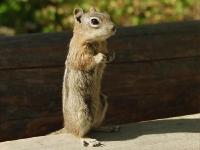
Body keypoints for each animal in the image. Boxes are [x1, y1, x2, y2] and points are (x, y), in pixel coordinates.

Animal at [62, 7, 118, 146]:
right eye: (94, 21)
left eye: (107, 15)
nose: (114, 27)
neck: (96, 41)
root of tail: (67, 127)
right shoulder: (78, 52)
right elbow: (84, 61)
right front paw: (98, 57)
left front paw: (111, 55)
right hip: (82, 111)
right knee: (77, 134)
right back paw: (87, 139)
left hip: (102, 102)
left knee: (94, 126)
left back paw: (107, 128)